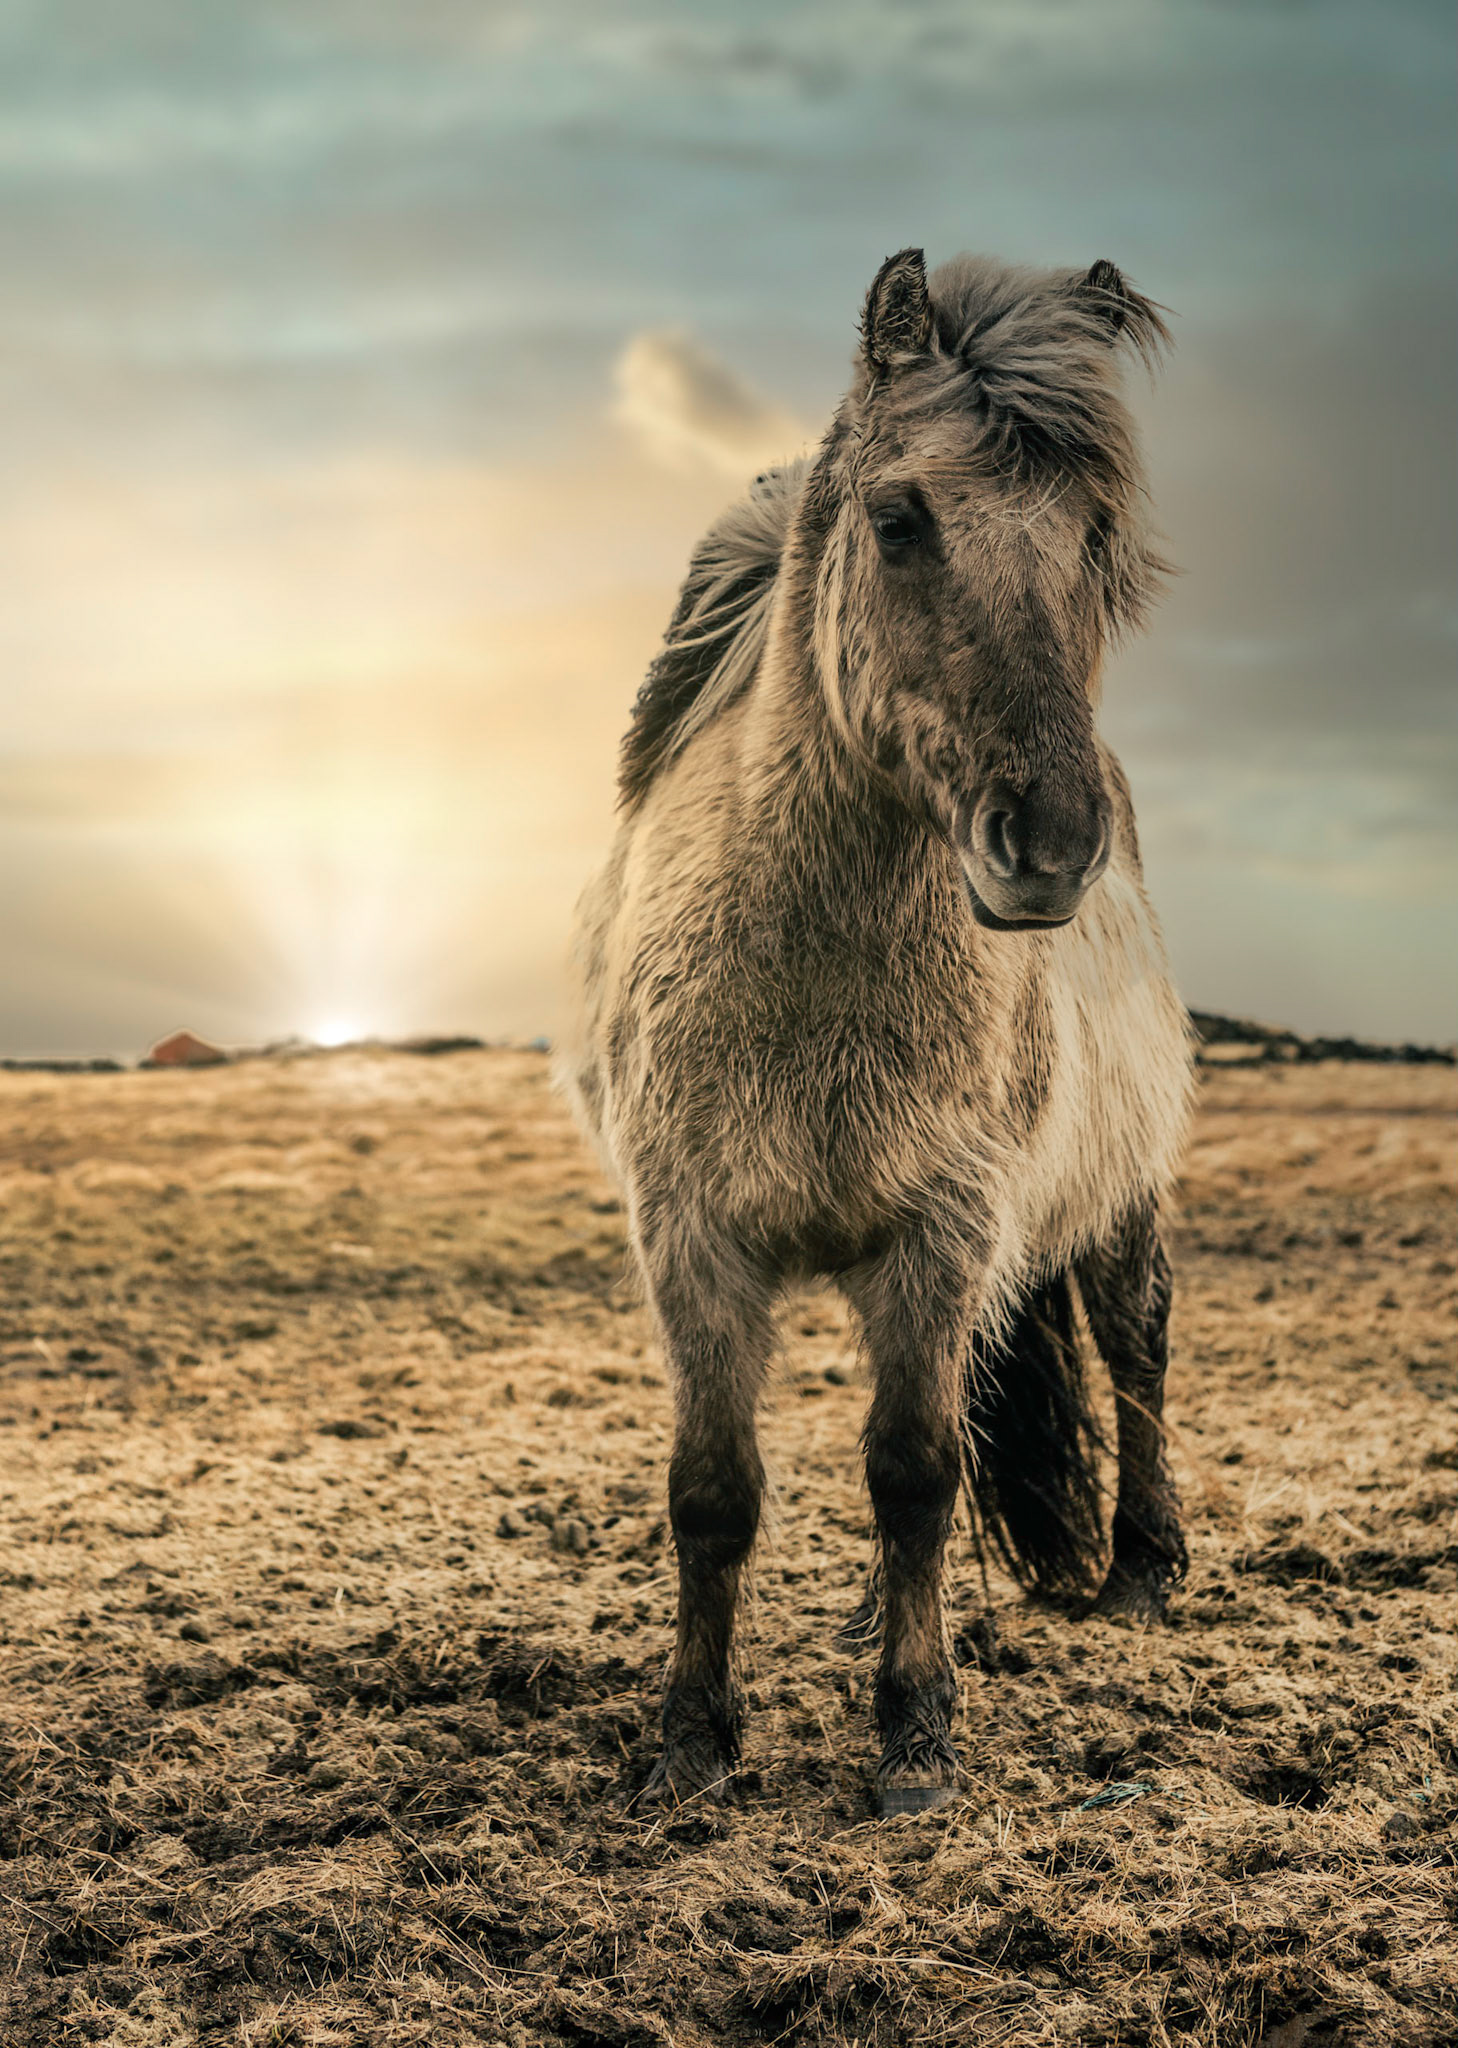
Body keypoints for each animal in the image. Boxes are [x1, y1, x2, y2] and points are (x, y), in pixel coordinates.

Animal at [562, 248, 1193, 1815]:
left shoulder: (941, 1231)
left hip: (1122, 1188)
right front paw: (690, 1738)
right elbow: (712, 1490)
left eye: (1098, 536)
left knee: (1135, 1338)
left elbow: (912, 1466)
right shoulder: (694, 1236)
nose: (1050, 840)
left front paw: (914, 1736)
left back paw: (1142, 1570)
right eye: (899, 521)